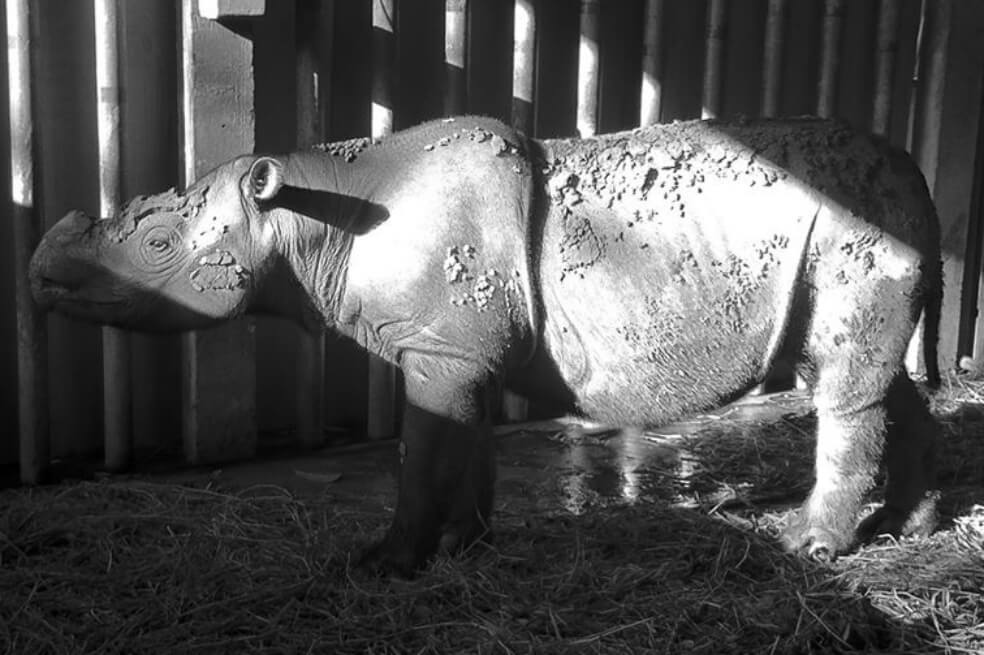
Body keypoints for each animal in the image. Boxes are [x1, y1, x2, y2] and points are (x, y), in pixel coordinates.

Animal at [30, 116, 942, 575]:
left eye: (157, 248)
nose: (38, 274)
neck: (304, 215)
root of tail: (917, 175)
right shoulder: (456, 348)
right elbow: (462, 443)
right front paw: (464, 549)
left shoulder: (443, 349)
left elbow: (423, 450)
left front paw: (383, 565)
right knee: (874, 374)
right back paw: (909, 523)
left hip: (854, 226)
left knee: (847, 381)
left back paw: (809, 545)